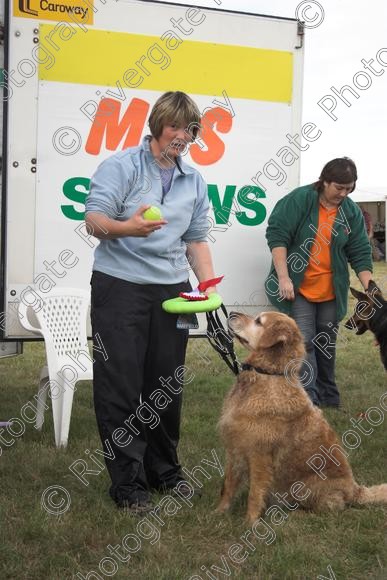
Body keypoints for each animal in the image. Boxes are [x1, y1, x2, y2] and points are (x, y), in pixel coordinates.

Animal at [218, 312, 387, 524]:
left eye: (258, 321)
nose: (231, 314)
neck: (269, 373)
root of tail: (355, 490)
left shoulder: (259, 454)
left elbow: (255, 493)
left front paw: (250, 522)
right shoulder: (234, 449)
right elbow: (228, 486)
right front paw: (218, 513)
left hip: (304, 486)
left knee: (325, 509)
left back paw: (293, 514)